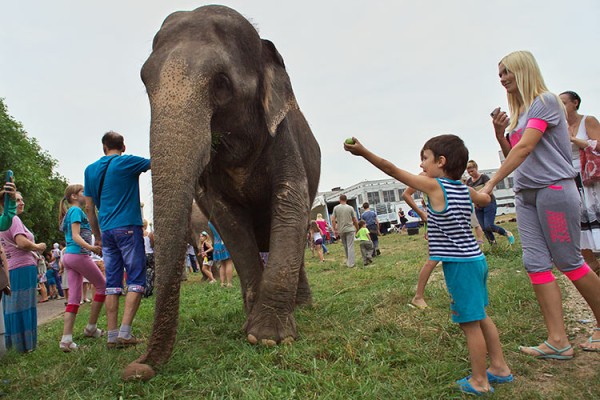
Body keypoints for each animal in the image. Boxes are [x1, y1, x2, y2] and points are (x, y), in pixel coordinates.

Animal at [124, 3, 322, 378]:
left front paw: (268, 338)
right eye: (143, 80)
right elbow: (227, 219)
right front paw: (252, 327)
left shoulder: (282, 136)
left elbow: (289, 200)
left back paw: (303, 306)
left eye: (221, 83)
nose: (136, 368)